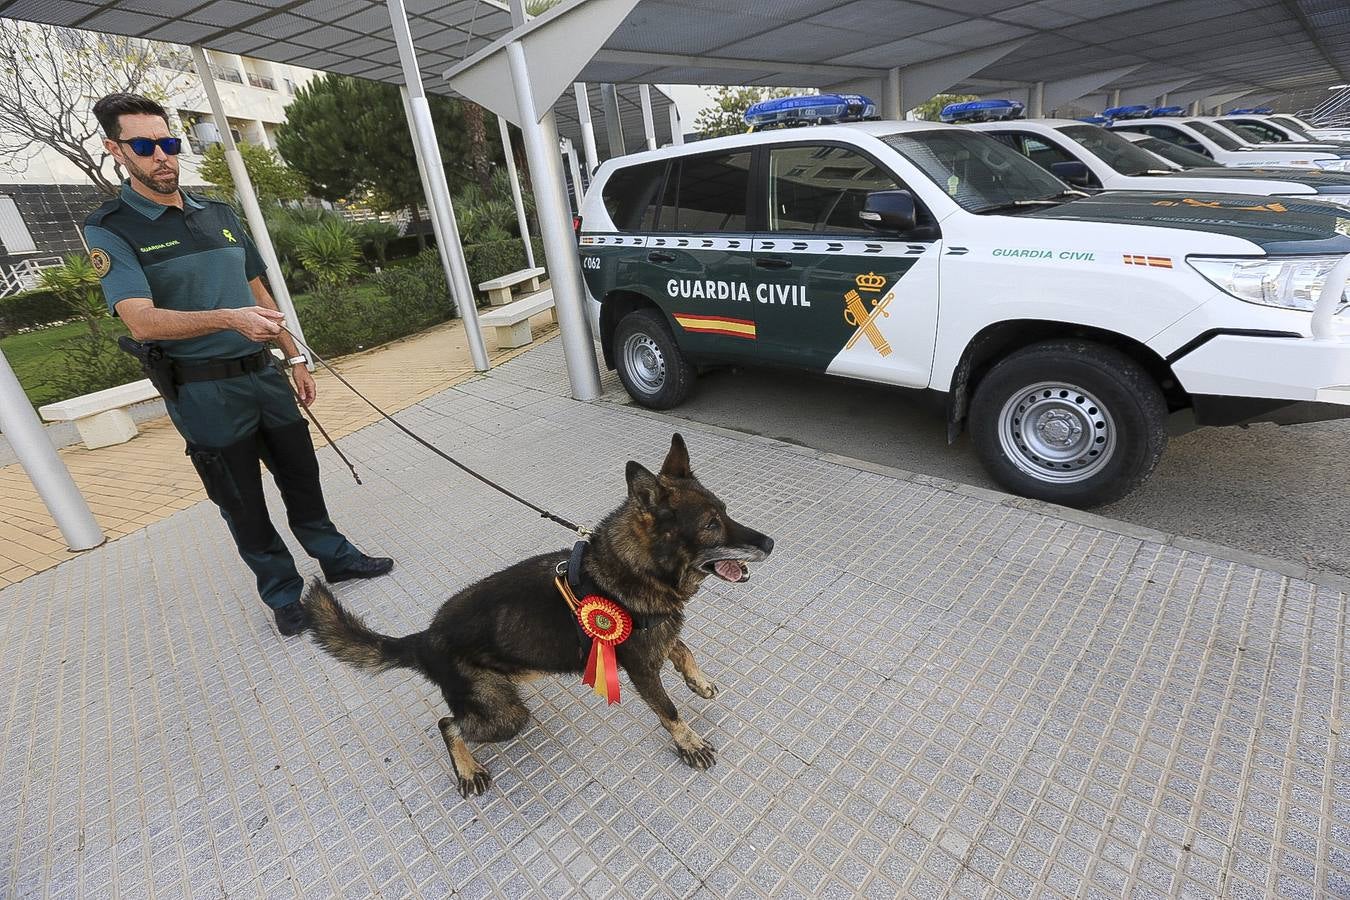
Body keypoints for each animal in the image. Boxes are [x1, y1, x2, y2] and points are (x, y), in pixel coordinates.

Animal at [305, 437, 772, 793]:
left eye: (725, 510)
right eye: (711, 525)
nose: (769, 543)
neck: (631, 567)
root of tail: (424, 638)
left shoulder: (658, 635)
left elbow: (682, 647)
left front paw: (698, 680)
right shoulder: (640, 669)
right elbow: (669, 709)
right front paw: (688, 742)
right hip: (505, 717)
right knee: (448, 723)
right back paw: (467, 768)